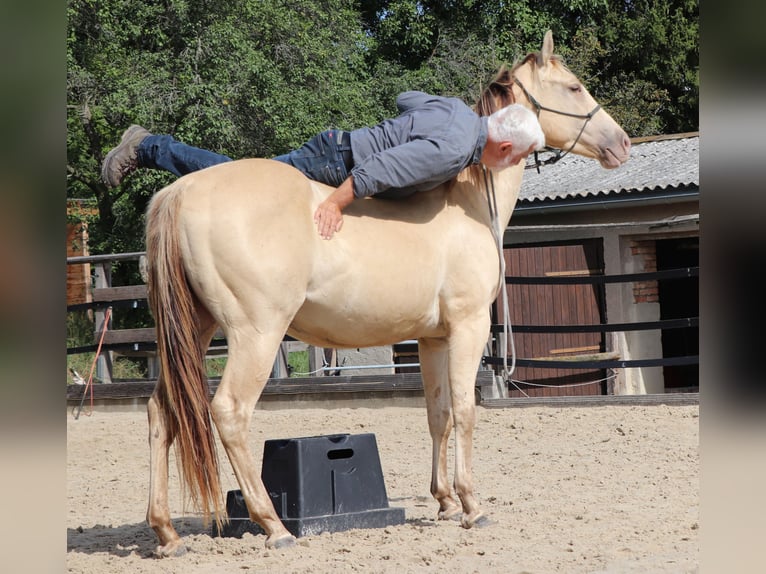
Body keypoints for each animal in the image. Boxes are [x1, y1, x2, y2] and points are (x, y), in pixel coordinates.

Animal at [144, 30, 630, 557]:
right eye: (575, 87)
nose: (622, 143)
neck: (468, 200)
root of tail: (180, 193)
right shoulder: (469, 326)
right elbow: (465, 410)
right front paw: (471, 505)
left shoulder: (433, 339)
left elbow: (438, 413)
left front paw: (444, 502)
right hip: (256, 334)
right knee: (229, 412)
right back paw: (273, 525)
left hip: (193, 332)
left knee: (163, 413)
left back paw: (167, 533)